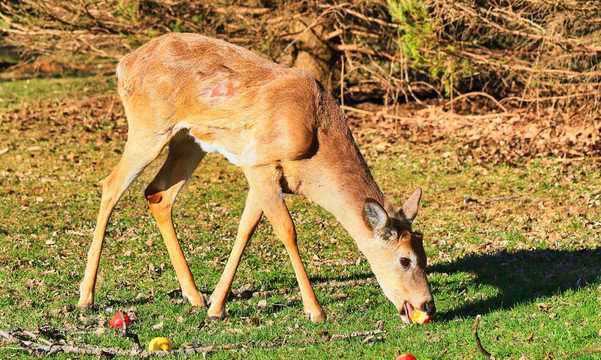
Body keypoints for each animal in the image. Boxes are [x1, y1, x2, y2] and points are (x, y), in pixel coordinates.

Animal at [77, 33, 434, 324]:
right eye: (404, 259)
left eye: (425, 254)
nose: (427, 305)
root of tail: (123, 64)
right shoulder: (260, 162)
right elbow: (286, 230)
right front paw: (315, 311)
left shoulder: (264, 174)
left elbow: (246, 228)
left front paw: (216, 306)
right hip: (149, 127)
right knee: (111, 185)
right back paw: (86, 297)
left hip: (189, 141)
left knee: (158, 193)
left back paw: (193, 295)